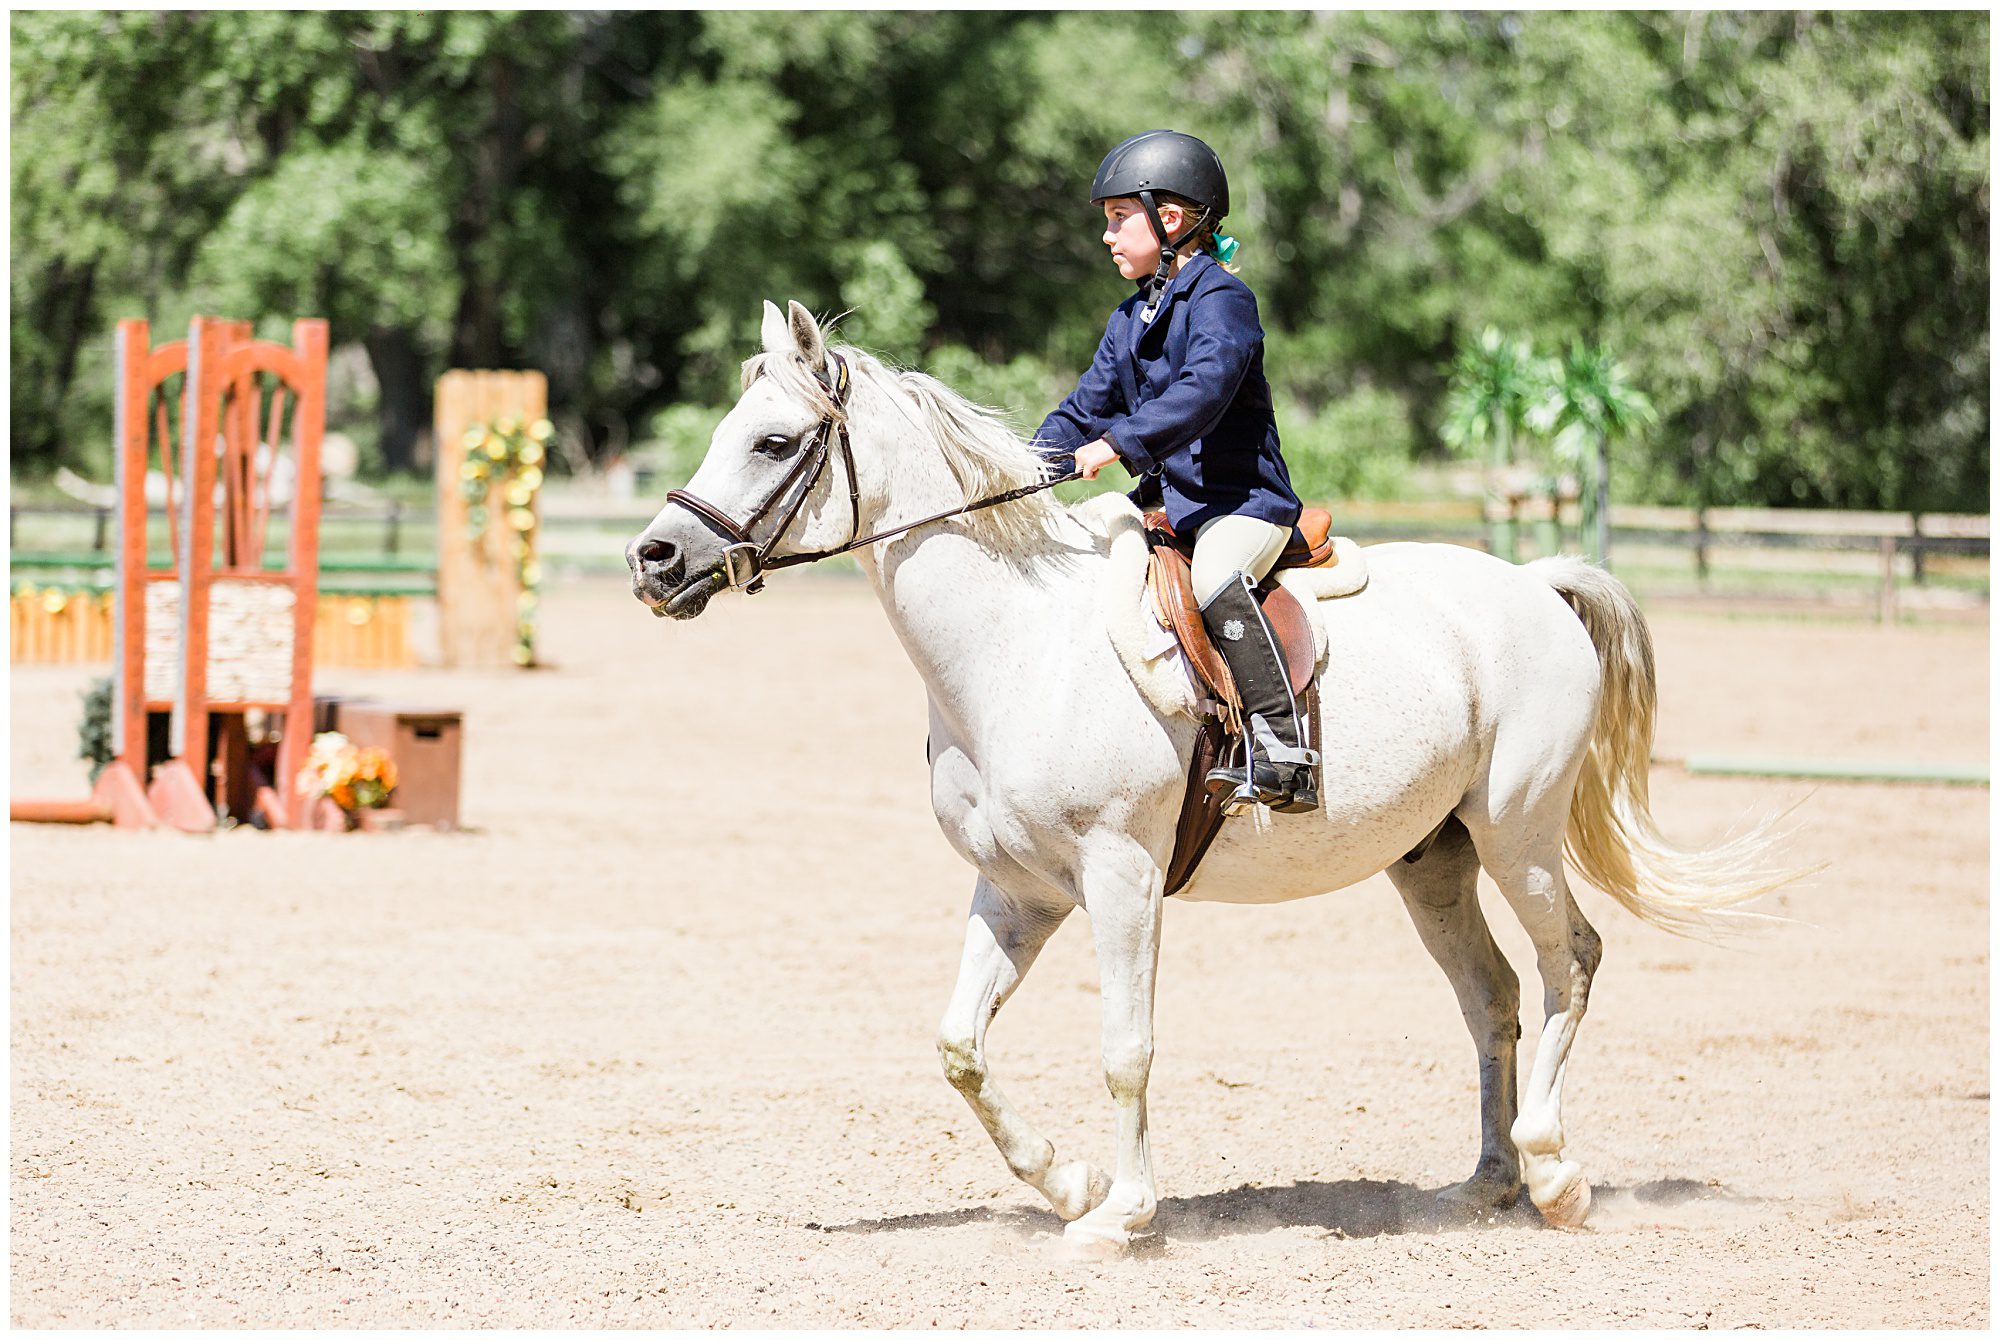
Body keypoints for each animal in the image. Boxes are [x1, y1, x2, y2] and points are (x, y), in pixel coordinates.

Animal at [624, 304, 1800, 1264]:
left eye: (775, 441)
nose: (654, 560)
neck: (1015, 645)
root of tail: (1535, 585)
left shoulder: (1120, 878)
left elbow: (1127, 1048)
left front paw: (1121, 1215)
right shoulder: (1019, 889)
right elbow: (960, 1047)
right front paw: (1069, 1181)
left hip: (1518, 835)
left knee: (1571, 965)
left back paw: (1554, 1173)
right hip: (1434, 860)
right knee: (1493, 996)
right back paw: (1483, 1185)